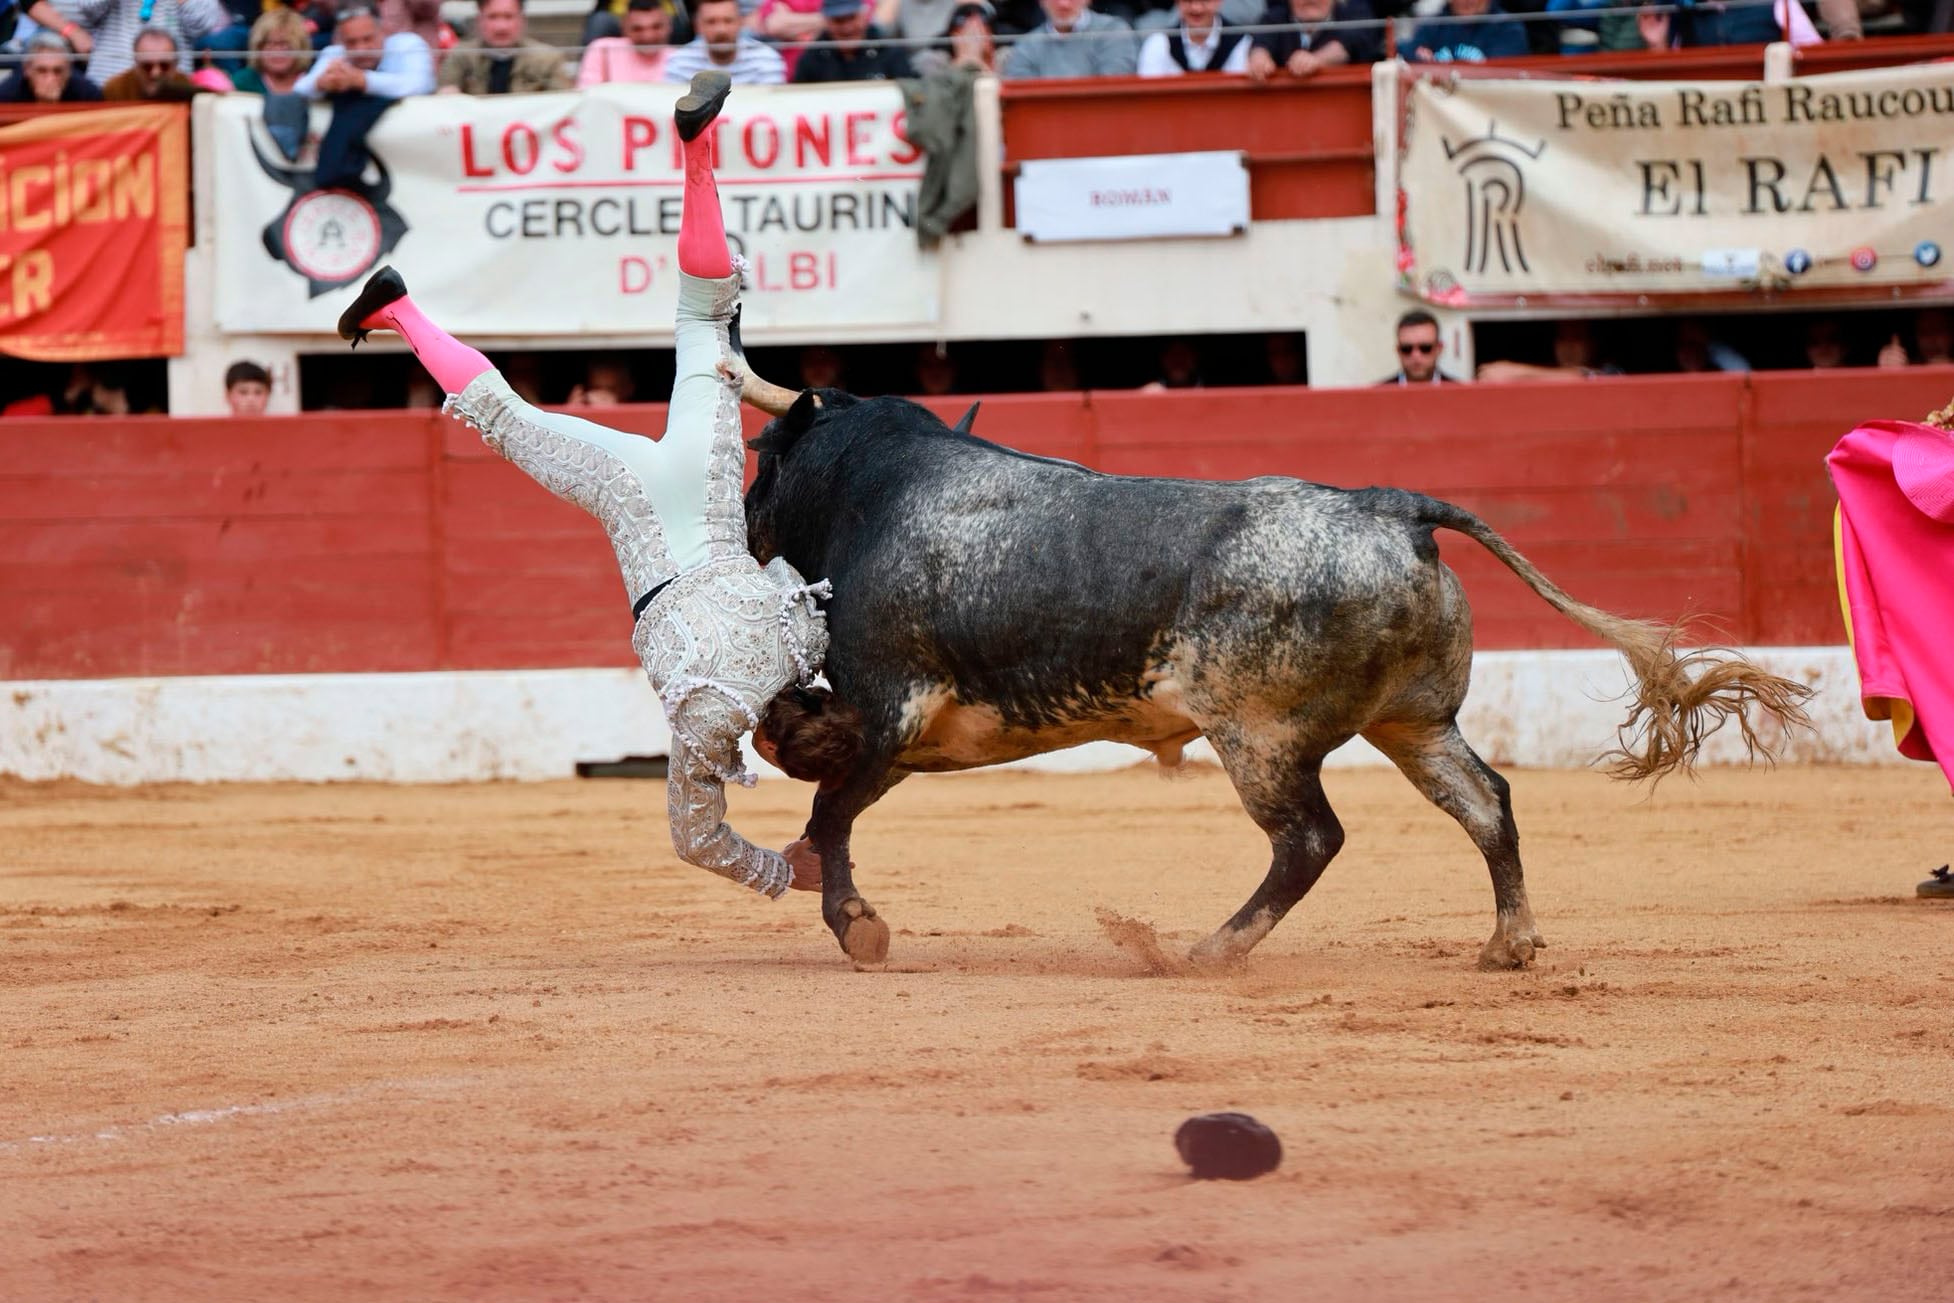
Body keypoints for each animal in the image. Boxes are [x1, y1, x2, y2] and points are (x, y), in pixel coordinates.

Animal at [738, 392, 1805, 972]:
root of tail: (1391, 507)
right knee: (1487, 802)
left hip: (1260, 737)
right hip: (1414, 721)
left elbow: (829, 809)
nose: (744, 521)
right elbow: (821, 791)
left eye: (763, 464)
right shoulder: (909, 732)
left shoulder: (889, 707)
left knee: (1310, 840)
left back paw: (1203, 952)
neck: (878, 491)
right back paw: (1509, 942)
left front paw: (858, 928)